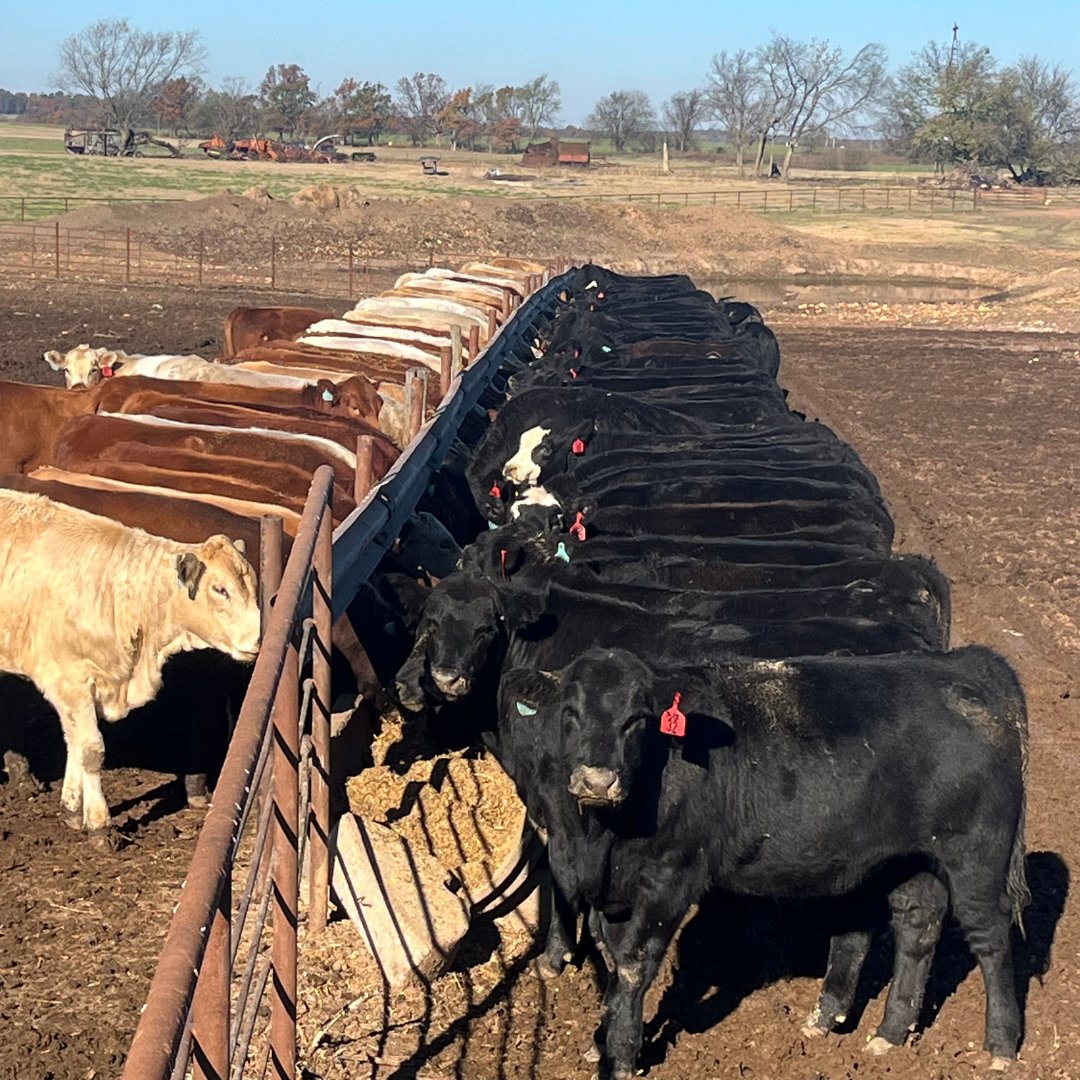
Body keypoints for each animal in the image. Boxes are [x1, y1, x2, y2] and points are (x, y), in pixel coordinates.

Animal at [0, 491, 261, 844]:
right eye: (220, 589)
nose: (258, 636)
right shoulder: (69, 680)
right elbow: (91, 750)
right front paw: (100, 825)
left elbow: (75, 743)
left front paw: (72, 809)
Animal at [502, 646, 1028, 1077]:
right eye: (569, 711)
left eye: (637, 719)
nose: (597, 780)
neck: (599, 838)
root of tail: (963, 665)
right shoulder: (615, 891)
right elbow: (613, 962)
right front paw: (602, 1039)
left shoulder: (671, 876)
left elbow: (634, 964)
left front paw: (622, 1056)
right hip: (908, 859)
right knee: (916, 928)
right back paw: (885, 1033)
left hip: (976, 855)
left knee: (990, 936)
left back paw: (1001, 1045)